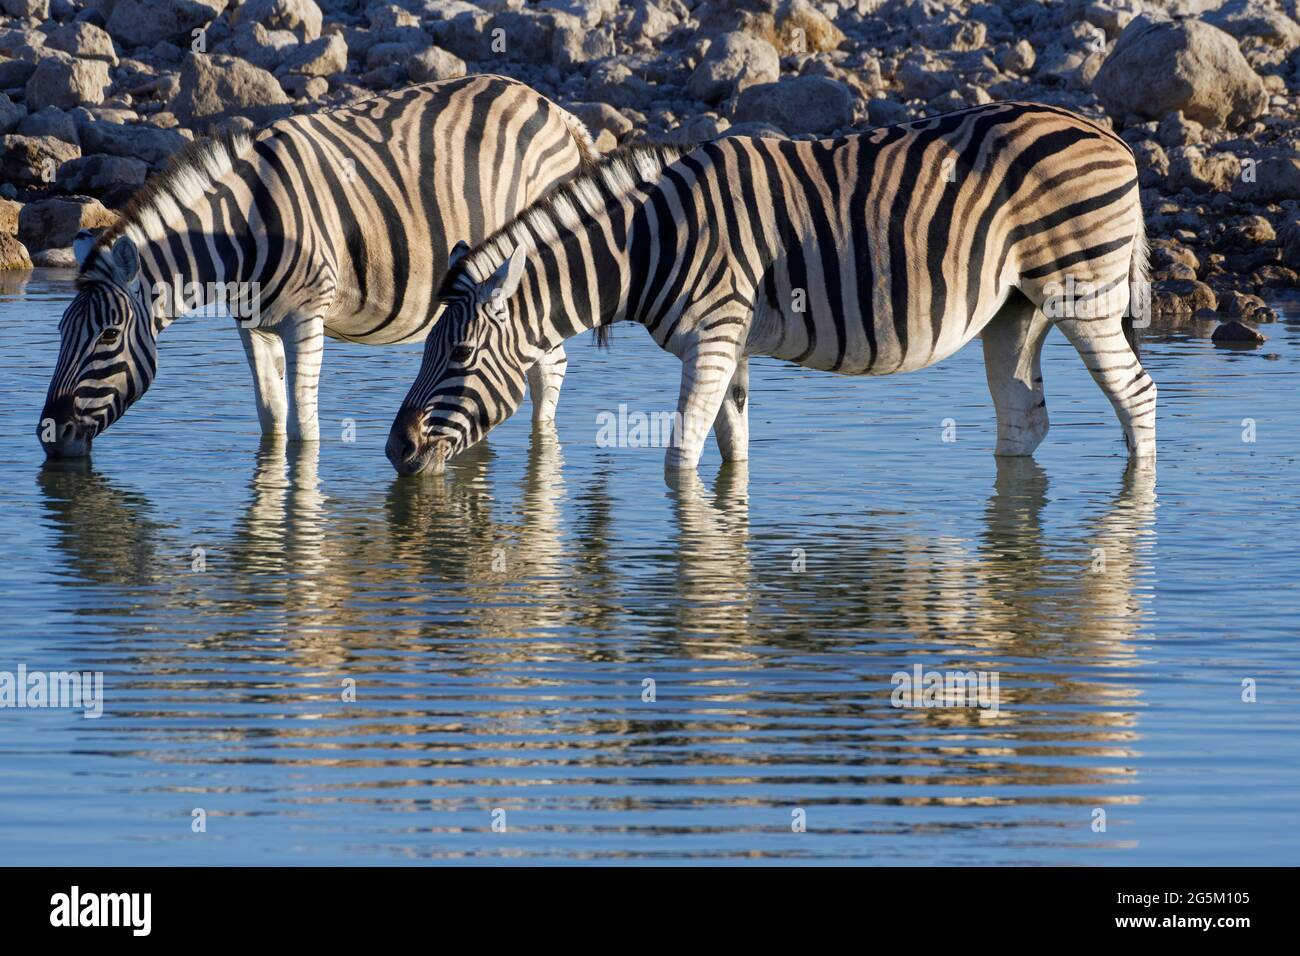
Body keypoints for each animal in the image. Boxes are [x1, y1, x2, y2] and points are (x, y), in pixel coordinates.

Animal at [35, 76, 595, 457]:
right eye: (60, 332)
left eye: (108, 336)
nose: (49, 435)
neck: (240, 230)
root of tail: (556, 111)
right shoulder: (252, 327)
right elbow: (272, 420)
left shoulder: (306, 320)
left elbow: (305, 432)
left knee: (549, 370)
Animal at [387, 102, 1159, 478]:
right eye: (422, 353)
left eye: (458, 358)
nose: (396, 452)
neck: (649, 243)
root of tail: (1106, 133)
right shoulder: (733, 349)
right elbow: (733, 451)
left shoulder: (713, 338)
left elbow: (679, 458)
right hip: (1016, 308)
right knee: (1024, 421)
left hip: (1083, 292)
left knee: (1138, 398)